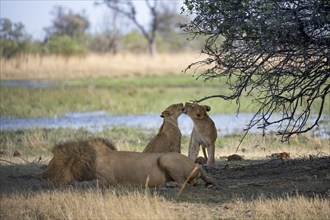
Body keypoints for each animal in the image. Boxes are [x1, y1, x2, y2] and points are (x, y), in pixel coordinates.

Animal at [42, 138, 214, 186]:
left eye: (53, 164)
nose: (43, 176)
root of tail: (196, 164)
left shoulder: (108, 179)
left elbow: (89, 183)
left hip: (165, 157)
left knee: (186, 182)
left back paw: (168, 185)